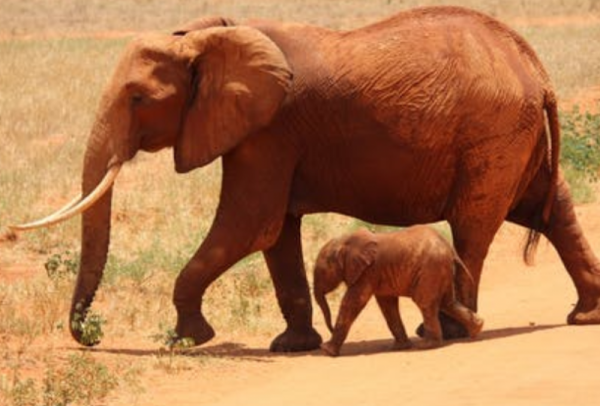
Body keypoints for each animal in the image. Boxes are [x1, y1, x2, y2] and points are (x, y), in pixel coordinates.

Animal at [314, 227, 482, 356]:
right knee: (447, 303)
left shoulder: (368, 272)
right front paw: (399, 347)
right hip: (441, 269)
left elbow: (353, 302)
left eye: (322, 271)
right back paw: (477, 330)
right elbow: (387, 305)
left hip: (431, 269)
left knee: (425, 303)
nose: (330, 329)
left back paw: (427, 345)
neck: (345, 241)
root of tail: (450, 250)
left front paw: (327, 351)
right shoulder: (377, 274)